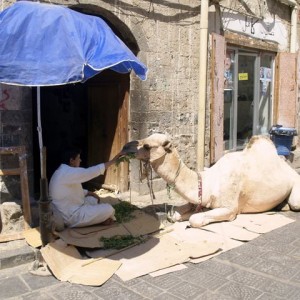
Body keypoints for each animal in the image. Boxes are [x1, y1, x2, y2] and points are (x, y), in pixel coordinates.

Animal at [122, 134, 300, 227]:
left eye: (147, 145)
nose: (125, 147)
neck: (208, 184)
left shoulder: (230, 208)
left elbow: (195, 219)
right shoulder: (197, 201)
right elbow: (176, 214)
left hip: (295, 184)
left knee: (295, 203)